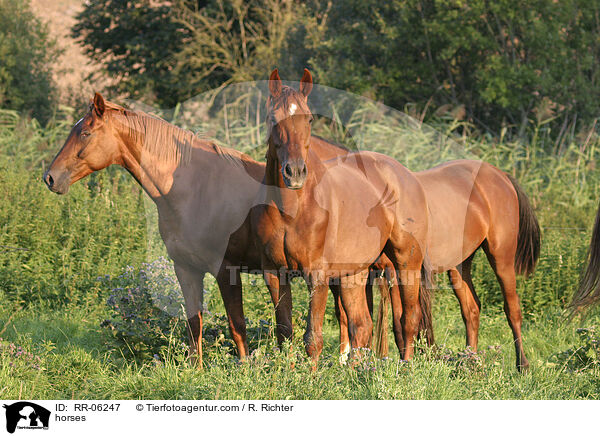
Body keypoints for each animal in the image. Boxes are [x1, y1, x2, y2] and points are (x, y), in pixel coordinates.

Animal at [251, 70, 434, 362]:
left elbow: (312, 338)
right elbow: (285, 332)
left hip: (406, 263)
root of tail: (406, 175)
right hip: (354, 274)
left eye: (309, 119)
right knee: (362, 325)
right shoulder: (275, 274)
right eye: (272, 117)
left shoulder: (317, 275)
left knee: (408, 319)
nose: (294, 172)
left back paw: (405, 366)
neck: (292, 210)